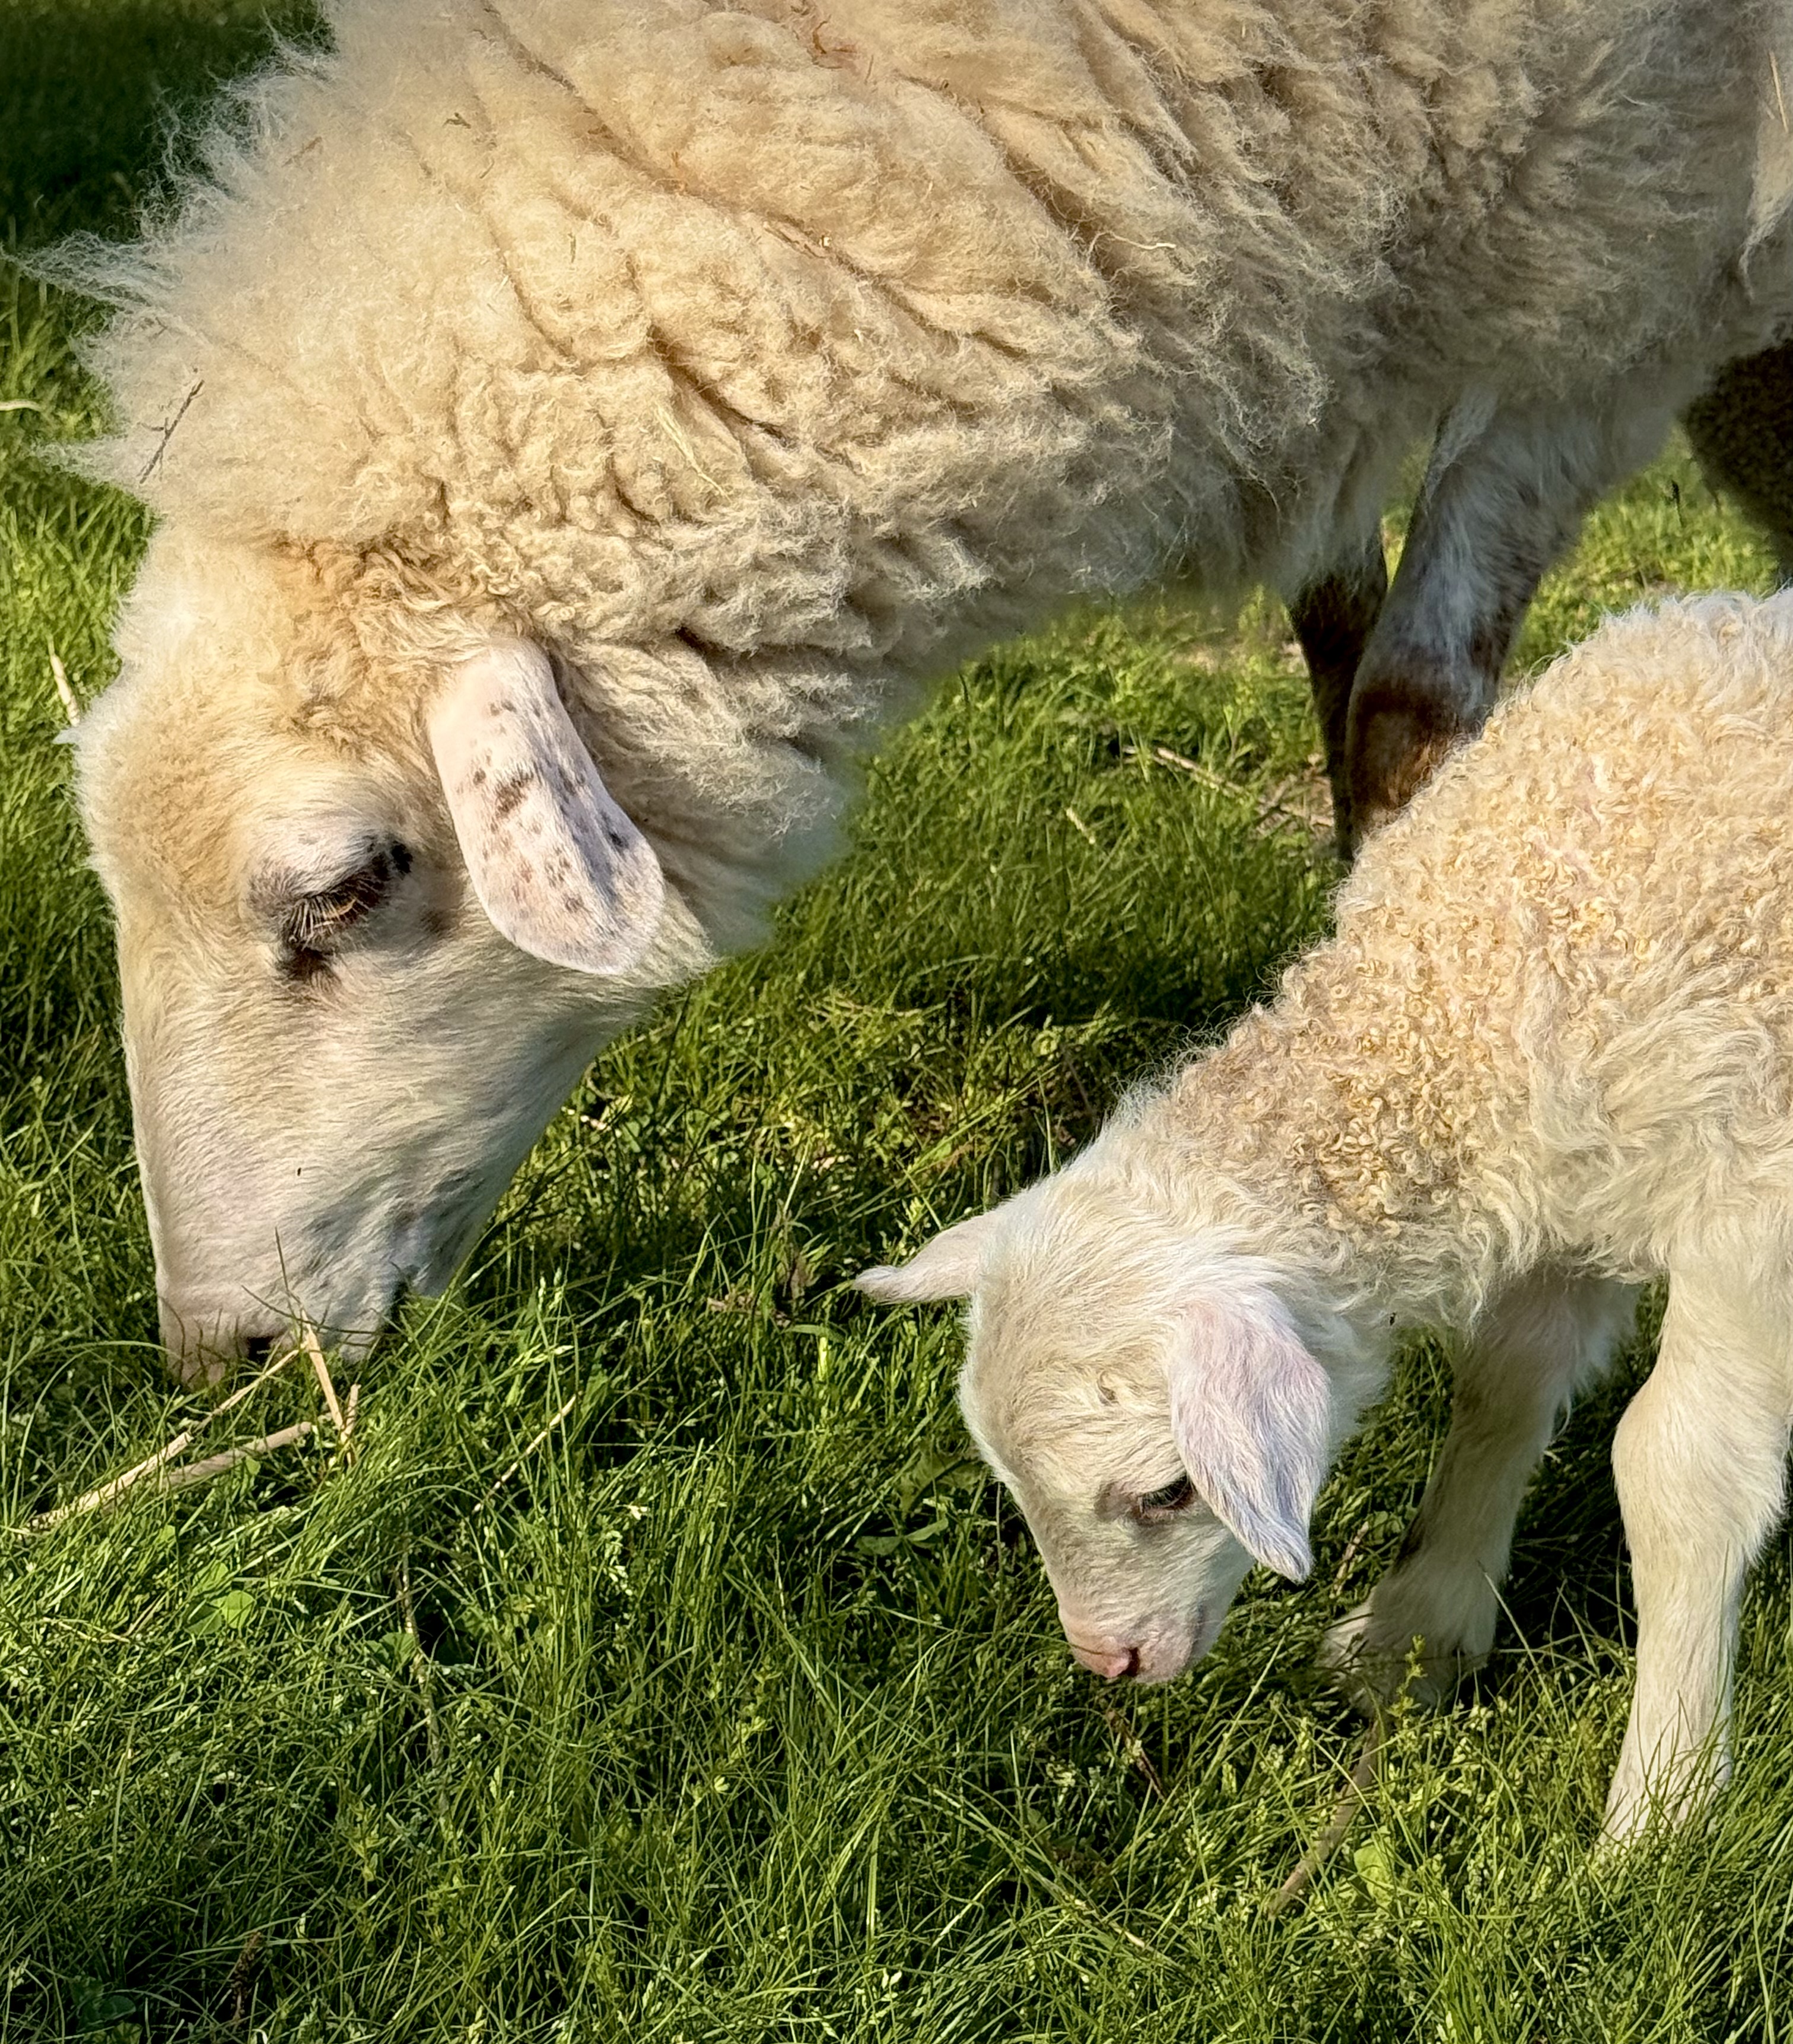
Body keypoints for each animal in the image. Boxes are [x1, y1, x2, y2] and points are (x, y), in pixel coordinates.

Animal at [858, 589, 1793, 1844]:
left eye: (1165, 1491)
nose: (1110, 1664)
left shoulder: (1749, 1210)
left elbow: (1677, 1472)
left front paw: (1664, 1807)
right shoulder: (1569, 1178)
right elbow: (1502, 1384)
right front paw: (1416, 1636)